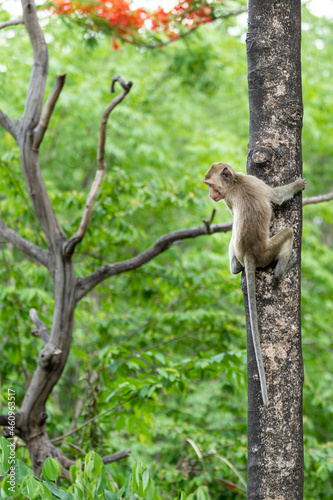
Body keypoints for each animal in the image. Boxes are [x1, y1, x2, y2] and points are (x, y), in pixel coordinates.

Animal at [202, 164, 306, 406]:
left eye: (211, 186)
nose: (210, 196)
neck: (237, 182)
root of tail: (250, 254)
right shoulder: (253, 183)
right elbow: (276, 197)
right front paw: (297, 185)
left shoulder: (239, 188)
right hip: (269, 251)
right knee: (288, 232)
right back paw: (281, 270)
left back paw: (237, 267)